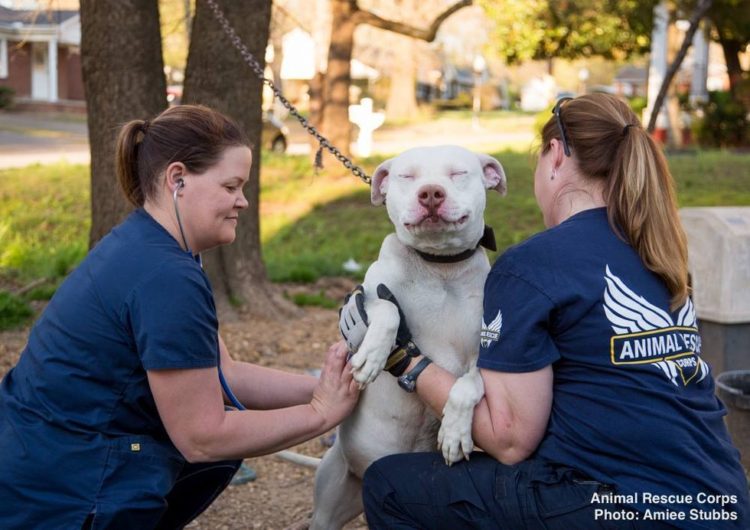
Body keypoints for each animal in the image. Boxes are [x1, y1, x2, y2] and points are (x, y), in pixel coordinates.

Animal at [308, 145, 508, 528]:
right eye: (408, 176)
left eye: (458, 173)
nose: (430, 193)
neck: (439, 268)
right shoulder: (365, 298)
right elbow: (387, 309)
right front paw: (373, 356)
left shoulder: (483, 355)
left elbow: (469, 384)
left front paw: (455, 431)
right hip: (329, 503)